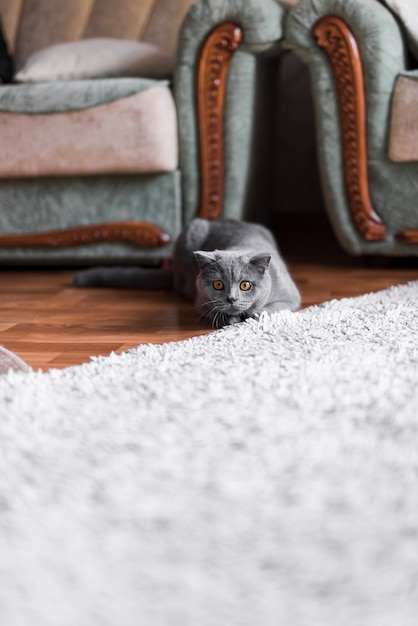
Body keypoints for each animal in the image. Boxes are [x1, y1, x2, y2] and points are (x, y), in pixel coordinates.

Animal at [74, 217, 300, 326]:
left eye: (245, 285)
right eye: (218, 284)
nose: (231, 299)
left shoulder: (291, 296)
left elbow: (275, 306)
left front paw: (254, 313)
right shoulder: (200, 301)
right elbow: (213, 310)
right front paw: (229, 318)